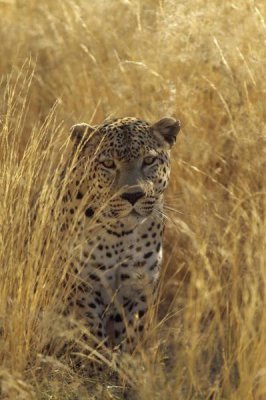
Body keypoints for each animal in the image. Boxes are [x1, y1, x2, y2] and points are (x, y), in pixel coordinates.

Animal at [59, 115, 181, 356]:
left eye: (149, 160)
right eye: (108, 164)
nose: (133, 195)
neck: (120, 235)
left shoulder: (139, 286)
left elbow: (132, 335)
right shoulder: (82, 286)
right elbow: (92, 334)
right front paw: (98, 361)